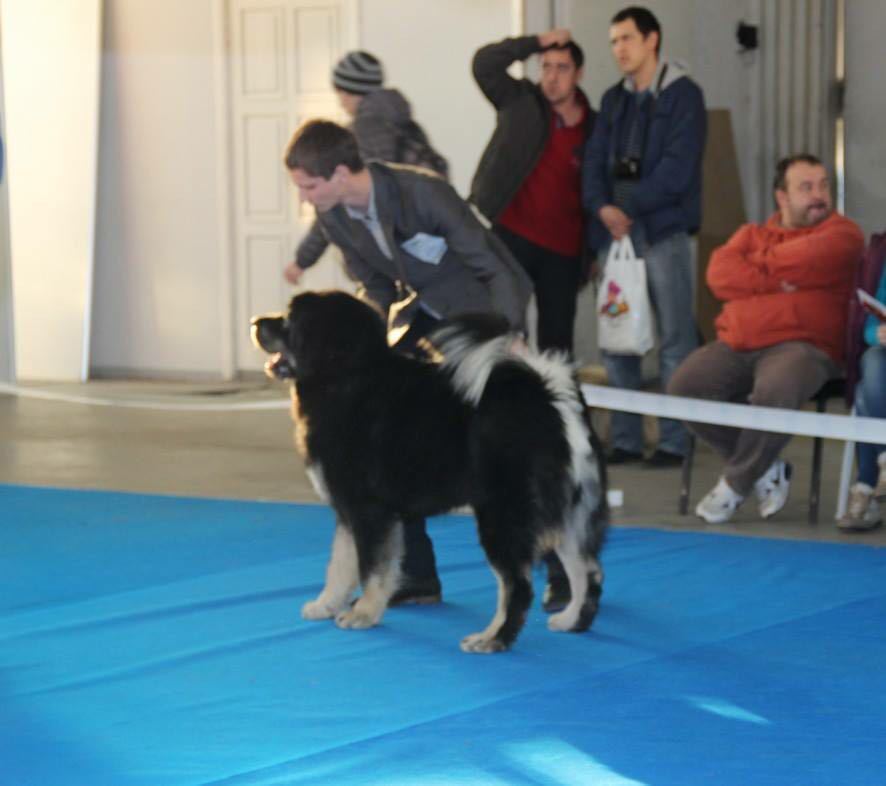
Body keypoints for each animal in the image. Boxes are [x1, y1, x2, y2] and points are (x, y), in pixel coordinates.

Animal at [253, 290, 608, 652]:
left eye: (289, 320)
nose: (255, 323)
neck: (345, 377)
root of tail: (547, 396)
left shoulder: (368, 510)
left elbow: (370, 568)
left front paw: (362, 614)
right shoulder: (349, 512)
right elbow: (340, 563)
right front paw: (326, 605)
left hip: (504, 516)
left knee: (519, 585)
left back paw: (492, 638)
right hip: (570, 512)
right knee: (588, 571)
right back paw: (571, 621)